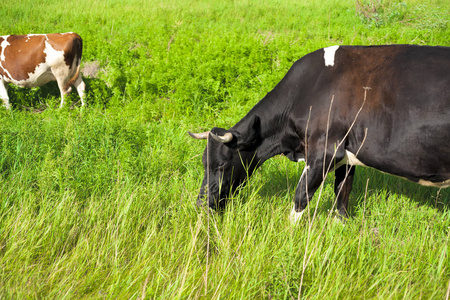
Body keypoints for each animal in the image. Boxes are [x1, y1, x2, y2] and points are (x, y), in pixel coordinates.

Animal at [189, 45, 450, 223]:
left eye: (221, 165)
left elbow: (301, 197)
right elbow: (342, 193)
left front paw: (287, 237)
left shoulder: (325, 151)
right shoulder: (347, 154)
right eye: (204, 163)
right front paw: (341, 225)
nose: (201, 204)